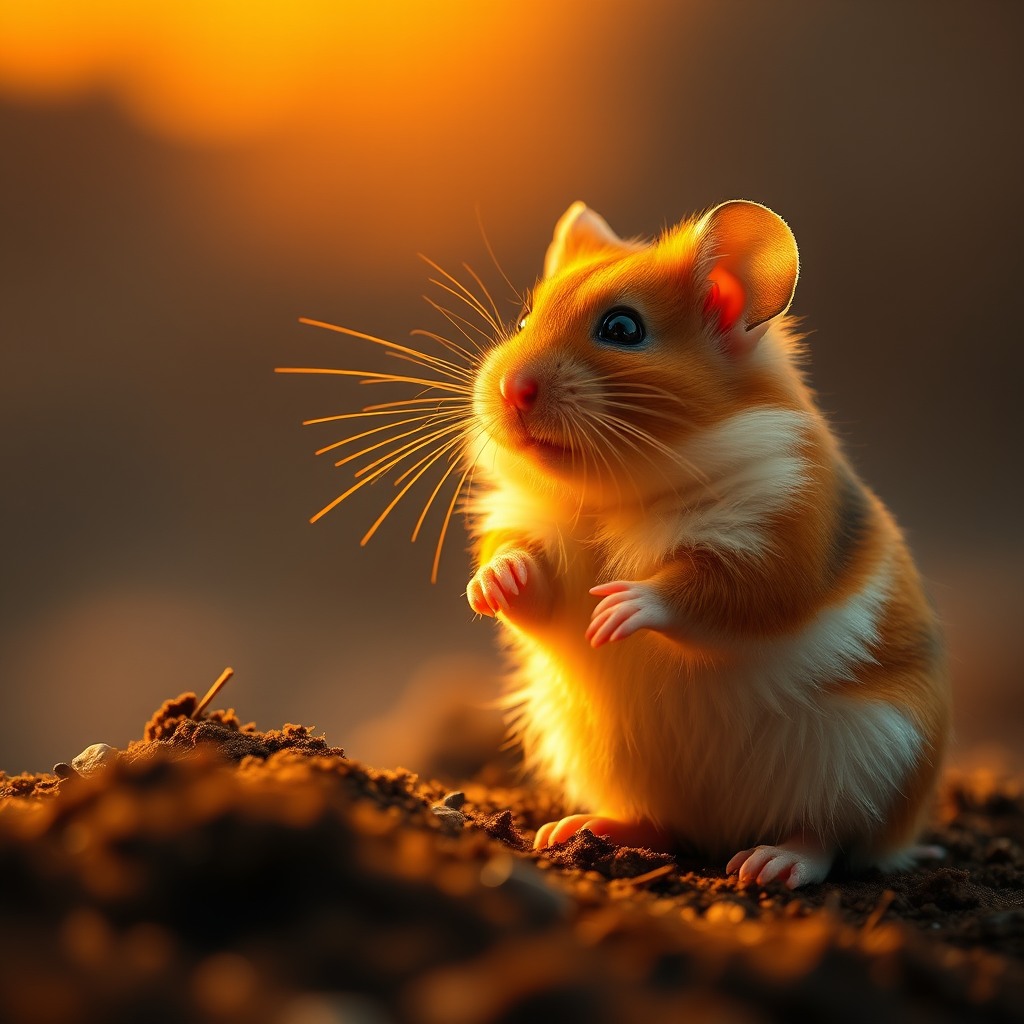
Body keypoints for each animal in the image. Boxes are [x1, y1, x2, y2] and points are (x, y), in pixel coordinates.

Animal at [463, 200, 951, 888]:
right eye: (525, 317)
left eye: (622, 327)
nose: (510, 390)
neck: (617, 494)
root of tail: (723, 832)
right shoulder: (529, 528)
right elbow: (526, 581)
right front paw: (491, 585)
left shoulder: (778, 539)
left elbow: (712, 591)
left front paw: (616, 611)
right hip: (603, 755)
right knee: (662, 826)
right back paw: (574, 830)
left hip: (872, 758)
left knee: (830, 837)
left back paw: (767, 866)